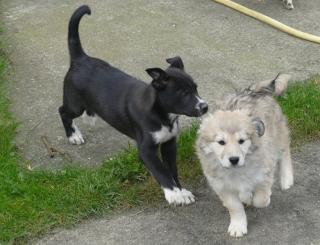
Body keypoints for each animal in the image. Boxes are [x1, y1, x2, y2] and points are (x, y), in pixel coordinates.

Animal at [59, 5, 209, 205]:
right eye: (184, 94)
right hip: (75, 103)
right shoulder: (146, 150)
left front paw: (181, 190)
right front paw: (174, 194)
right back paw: (73, 135)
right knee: (63, 111)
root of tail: (80, 58)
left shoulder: (169, 143)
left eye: (196, 88)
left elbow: (172, 169)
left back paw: (90, 115)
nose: (205, 107)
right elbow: (161, 171)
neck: (162, 115)